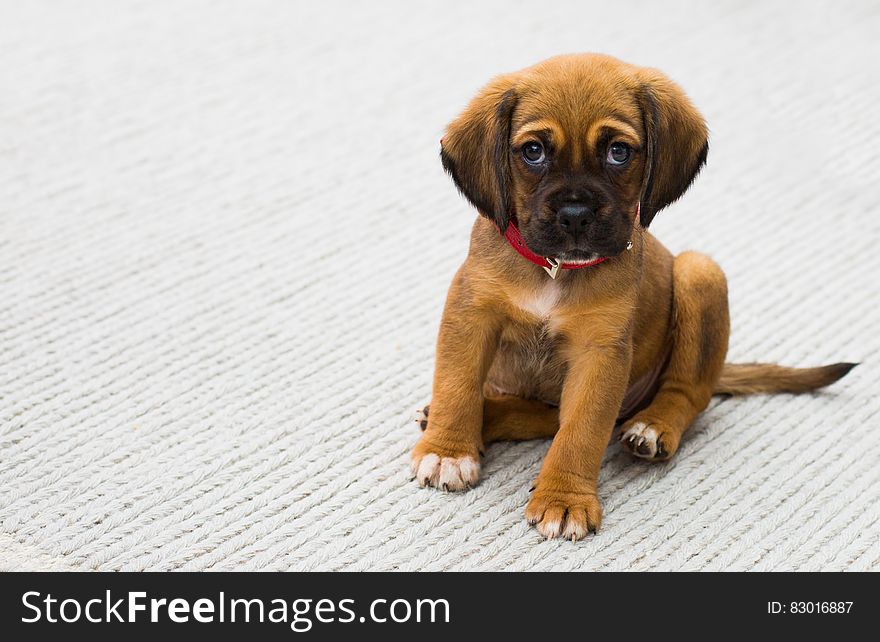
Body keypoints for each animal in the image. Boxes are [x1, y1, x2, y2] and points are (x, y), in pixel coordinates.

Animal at [414, 51, 860, 540]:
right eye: (533, 151)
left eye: (618, 152)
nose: (575, 215)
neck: (554, 270)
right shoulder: (471, 314)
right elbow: (457, 385)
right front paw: (448, 450)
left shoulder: (600, 353)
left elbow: (582, 432)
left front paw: (564, 498)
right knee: (544, 415)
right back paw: (480, 417)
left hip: (699, 273)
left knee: (687, 393)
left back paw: (653, 426)